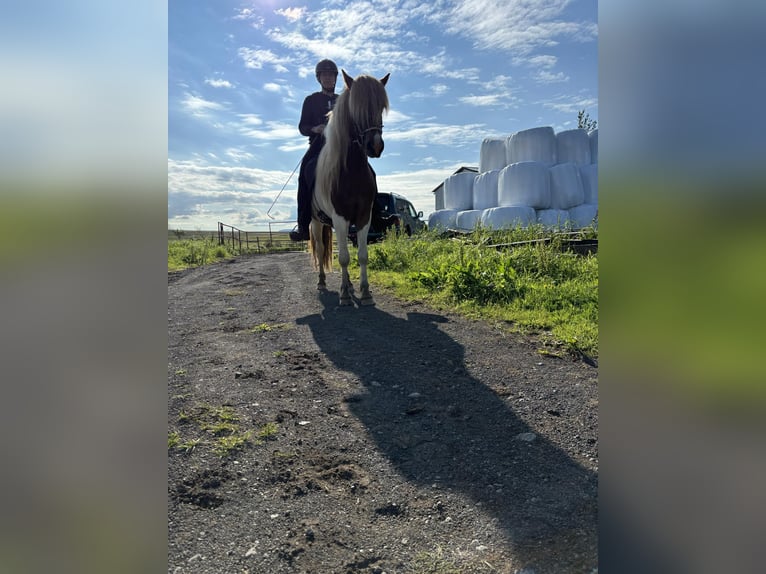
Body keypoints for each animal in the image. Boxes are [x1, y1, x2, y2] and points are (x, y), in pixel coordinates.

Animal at [308, 68, 390, 306]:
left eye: (381, 107)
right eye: (356, 108)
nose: (375, 146)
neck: (351, 172)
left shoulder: (363, 217)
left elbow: (362, 256)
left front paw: (365, 292)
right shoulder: (340, 217)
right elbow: (343, 257)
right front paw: (344, 294)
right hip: (317, 222)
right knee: (321, 249)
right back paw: (322, 282)